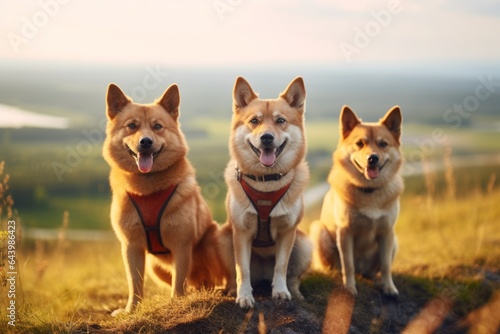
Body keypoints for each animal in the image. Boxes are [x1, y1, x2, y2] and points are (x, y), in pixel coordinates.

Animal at [102, 82, 224, 314]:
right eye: (132, 126)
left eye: (157, 126)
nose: (146, 142)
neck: (147, 189)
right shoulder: (131, 247)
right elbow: (135, 282)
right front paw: (131, 310)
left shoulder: (182, 245)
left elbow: (178, 282)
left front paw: (177, 304)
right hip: (154, 266)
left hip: (214, 239)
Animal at [310, 105, 404, 296]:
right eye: (360, 143)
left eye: (383, 144)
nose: (372, 158)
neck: (368, 191)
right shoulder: (345, 232)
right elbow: (348, 265)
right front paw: (349, 288)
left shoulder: (387, 232)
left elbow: (385, 265)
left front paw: (389, 287)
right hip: (319, 231)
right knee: (335, 268)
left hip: (394, 242)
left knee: (373, 271)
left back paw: (377, 280)